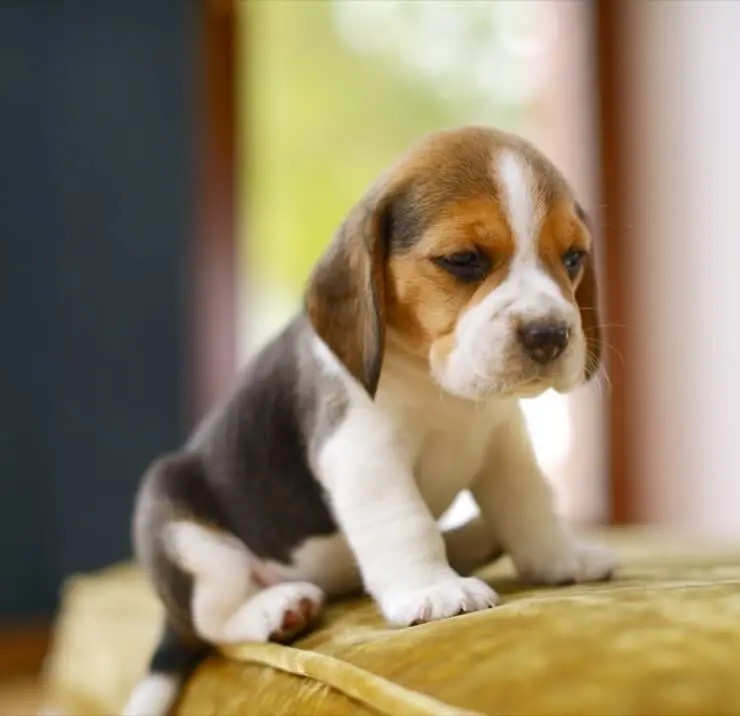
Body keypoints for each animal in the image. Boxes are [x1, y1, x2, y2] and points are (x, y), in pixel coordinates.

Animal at [123, 126, 620, 712]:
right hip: (176, 519)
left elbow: (530, 507)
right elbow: (403, 521)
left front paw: (561, 559)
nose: (549, 334)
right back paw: (276, 609)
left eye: (573, 258)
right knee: (213, 623)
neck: (438, 387)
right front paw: (435, 589)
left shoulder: (505, 445)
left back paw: (476, 539)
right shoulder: (361, 451)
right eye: (463, 259)